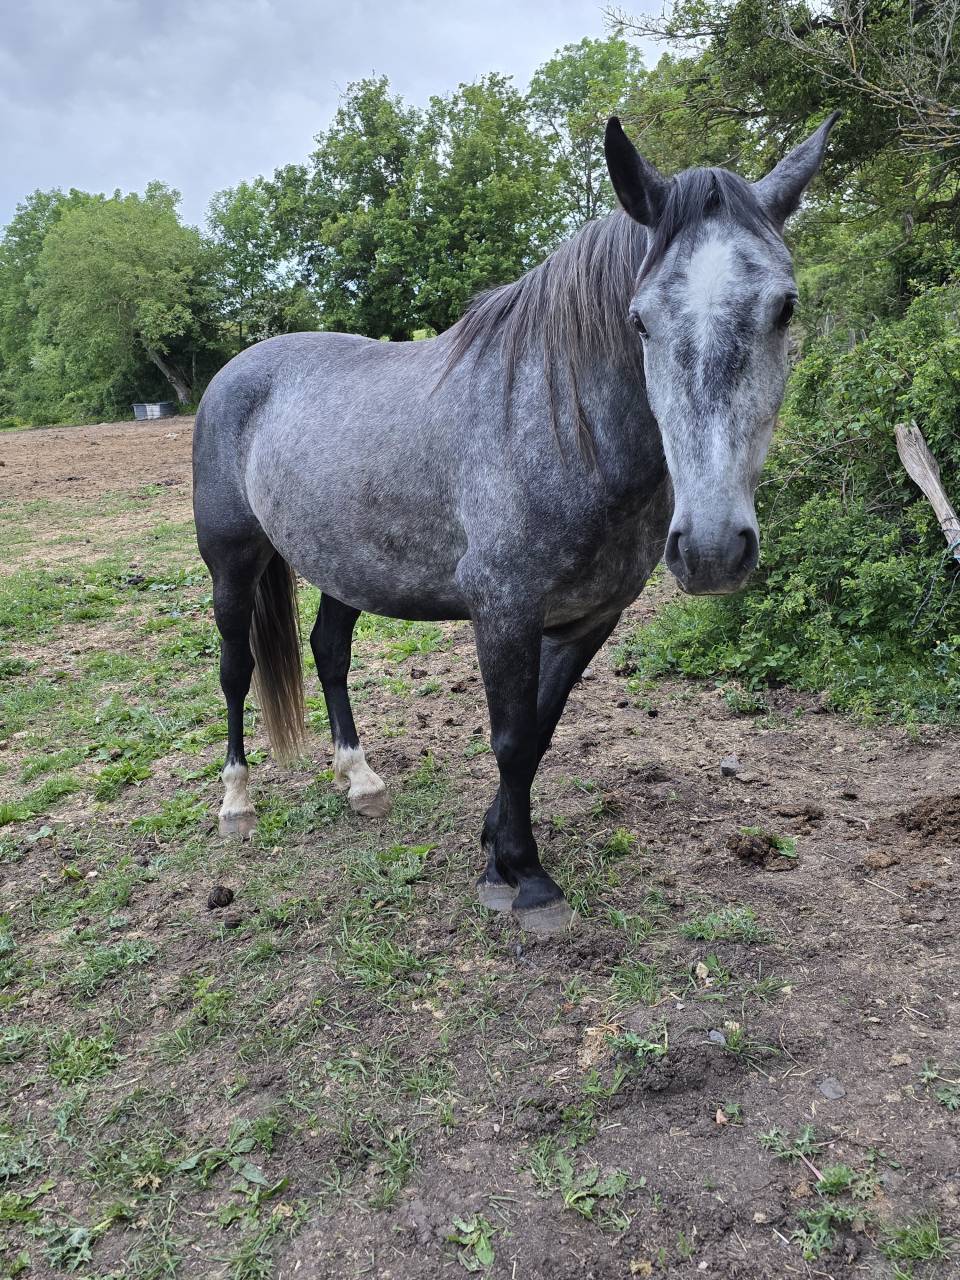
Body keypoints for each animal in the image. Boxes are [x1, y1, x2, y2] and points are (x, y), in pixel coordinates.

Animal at [193, 113, 838, 932]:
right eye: (640, 320)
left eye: (784, 307)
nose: (713, 549)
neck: (558, 427)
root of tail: (235, 371)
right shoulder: (502, 611)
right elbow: (507, 737)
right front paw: (525, 878)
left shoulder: (586, 620)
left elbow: (537, 735)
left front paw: (497, 848)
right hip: (232, 565)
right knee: (235, 670)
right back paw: (236, 804)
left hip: (348, 566)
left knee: (329, 652)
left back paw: (360, 780)